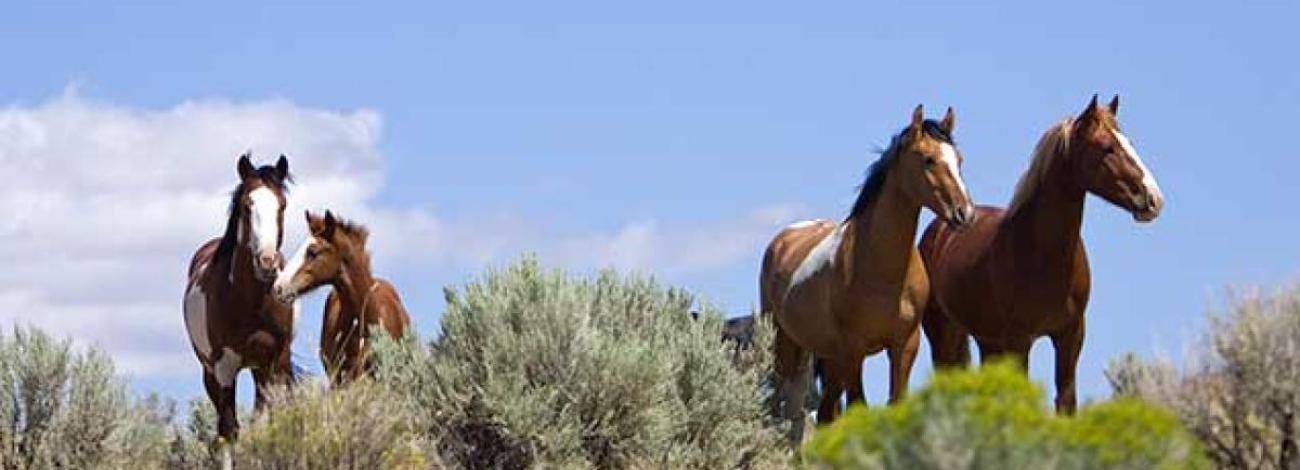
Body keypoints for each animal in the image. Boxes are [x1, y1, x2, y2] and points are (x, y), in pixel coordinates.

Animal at [759, 105, 977, 441]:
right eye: (928, 159)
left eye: (959, 159)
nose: (965, 214)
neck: (882, 270)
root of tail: (782, 240)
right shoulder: (854, 349)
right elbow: (859, 408)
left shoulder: (904, 345)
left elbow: (895, 404)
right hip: (787, 348)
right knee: (782, 414)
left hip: (827, 357)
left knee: (821, 415)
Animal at [920, 94, 1164, 410]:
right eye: (1107, 147)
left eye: (1130, 142)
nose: (1153, 199)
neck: (1043, 255)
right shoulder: (1019, 341)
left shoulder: (1070, 335)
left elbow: (1066, 400)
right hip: (945, 337)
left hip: (988, 342)